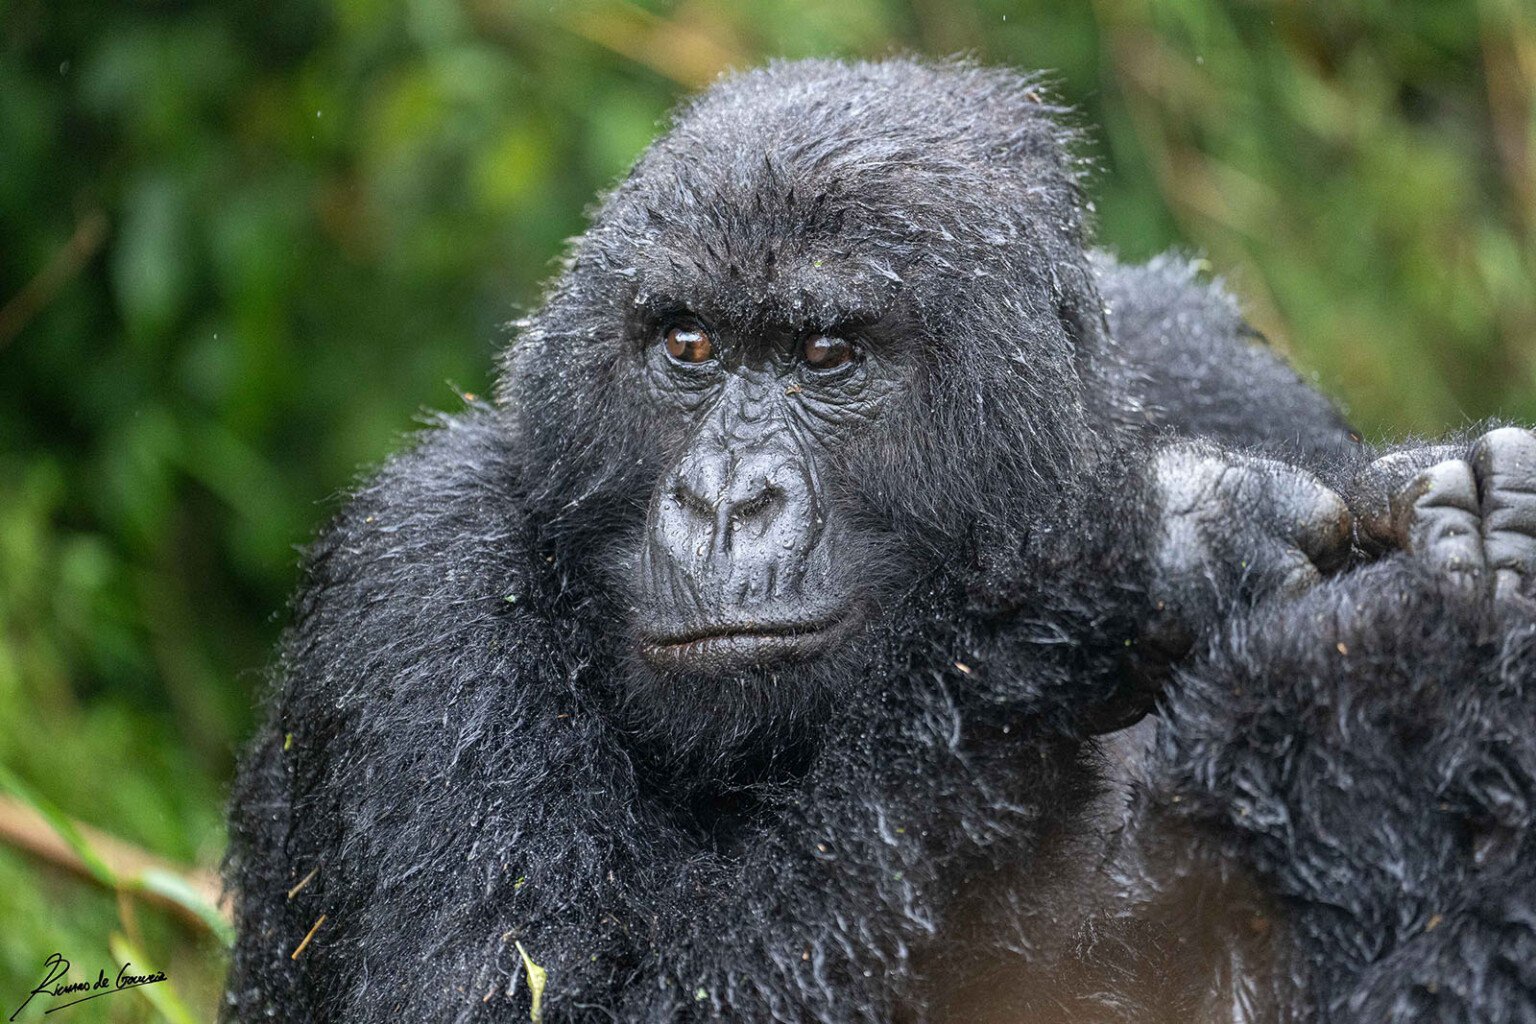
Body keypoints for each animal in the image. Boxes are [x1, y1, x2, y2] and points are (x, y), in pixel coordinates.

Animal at [224, 57, 1536, 1024]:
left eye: (826, 353)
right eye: (687, 345)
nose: (726, 500)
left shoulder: (1213, 357)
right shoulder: (424, 582)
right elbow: (533, 993)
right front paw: (1140, 580)